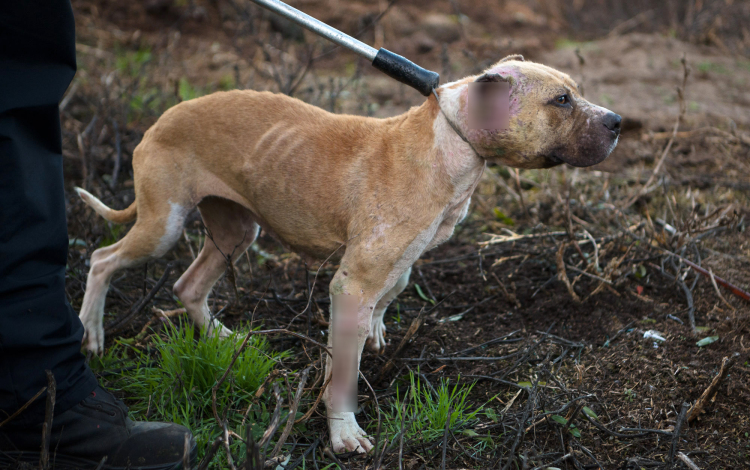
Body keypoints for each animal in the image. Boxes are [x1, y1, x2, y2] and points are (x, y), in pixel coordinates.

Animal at [75, 56, 624, 456]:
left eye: (574, 91)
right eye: (561, 100)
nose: (619, 120)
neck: (451, 141)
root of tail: (164, 116)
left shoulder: (396, 261)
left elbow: (394, 290)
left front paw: (377, 331)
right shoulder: (353, 282)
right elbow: (342, 374)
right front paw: (343, 433)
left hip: (236, 231)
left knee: (188, 285)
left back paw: (222, 339)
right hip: (162, 227)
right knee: (102, 258)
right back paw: (92, 334)